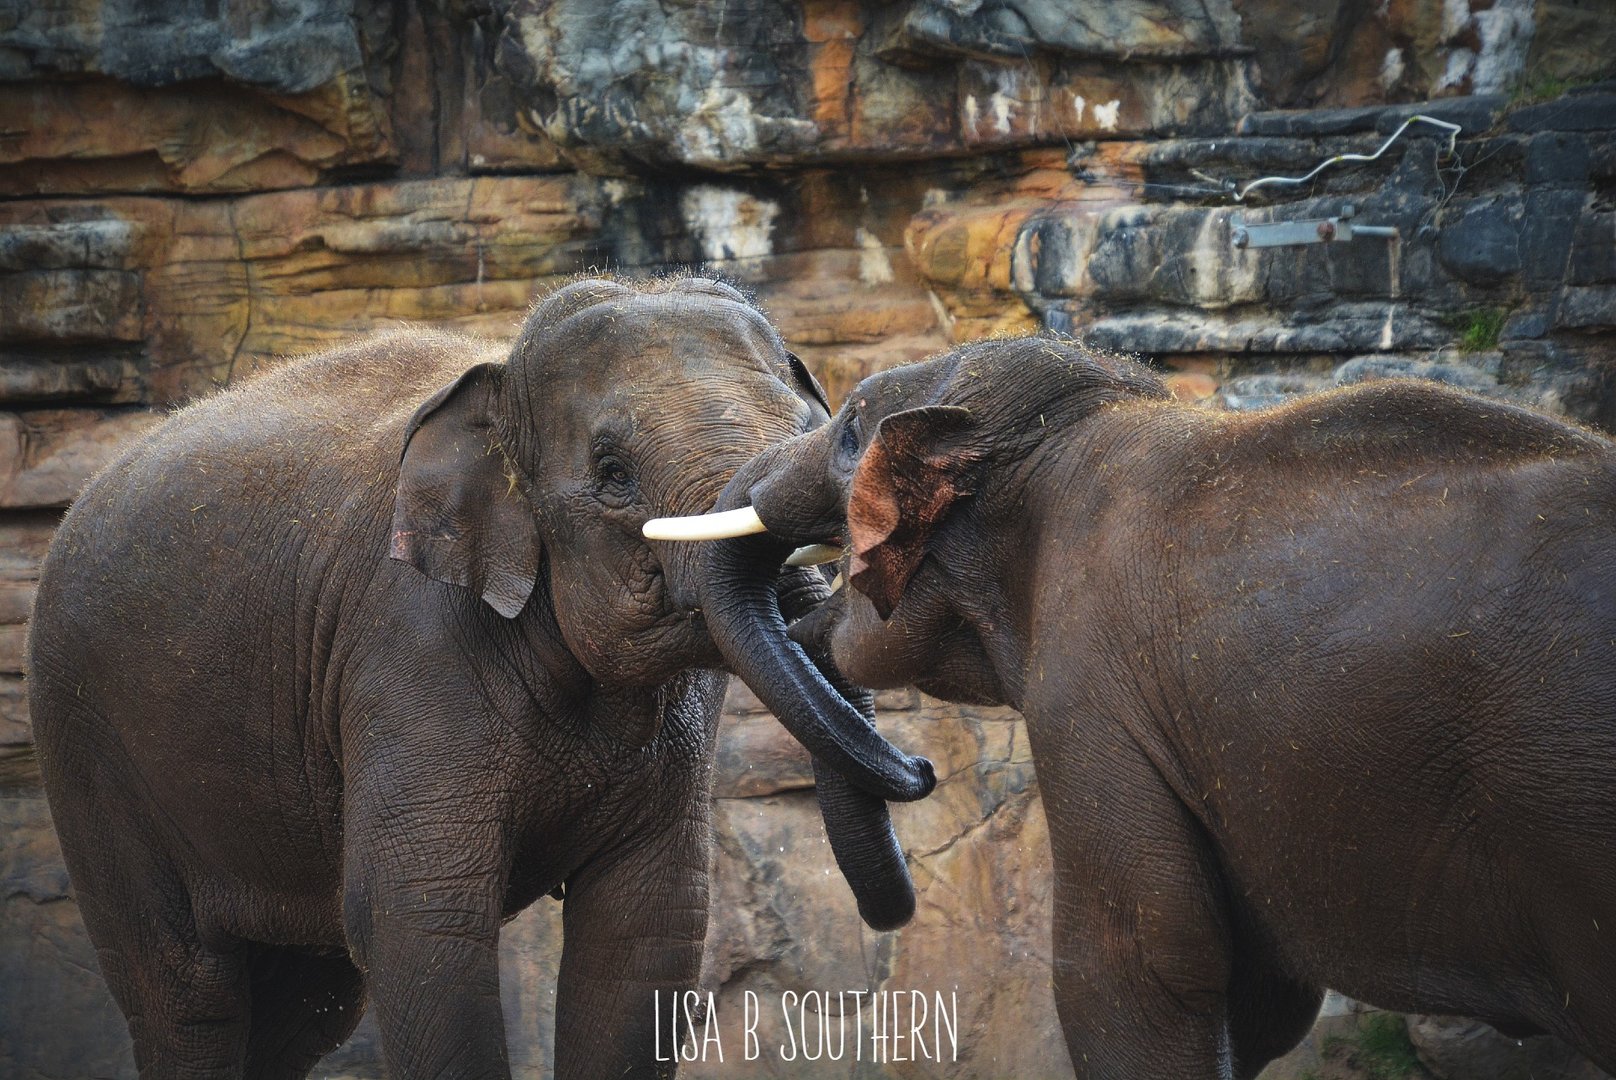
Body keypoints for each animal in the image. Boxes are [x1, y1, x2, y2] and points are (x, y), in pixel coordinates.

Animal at [26, 276, 934, 1080]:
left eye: (815, 429)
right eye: (612, 471)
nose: (921, 768)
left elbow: (649, 923)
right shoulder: (407, 648)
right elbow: (419, 916)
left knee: (306, 1005)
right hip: (88, 750)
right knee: (189, 993)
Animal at [652, 334, 1616, 1078]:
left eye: (851, 428)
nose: (920, 769)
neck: (1084, 427)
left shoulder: (1092, 695)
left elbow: (1136, 965)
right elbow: (1257, 995)